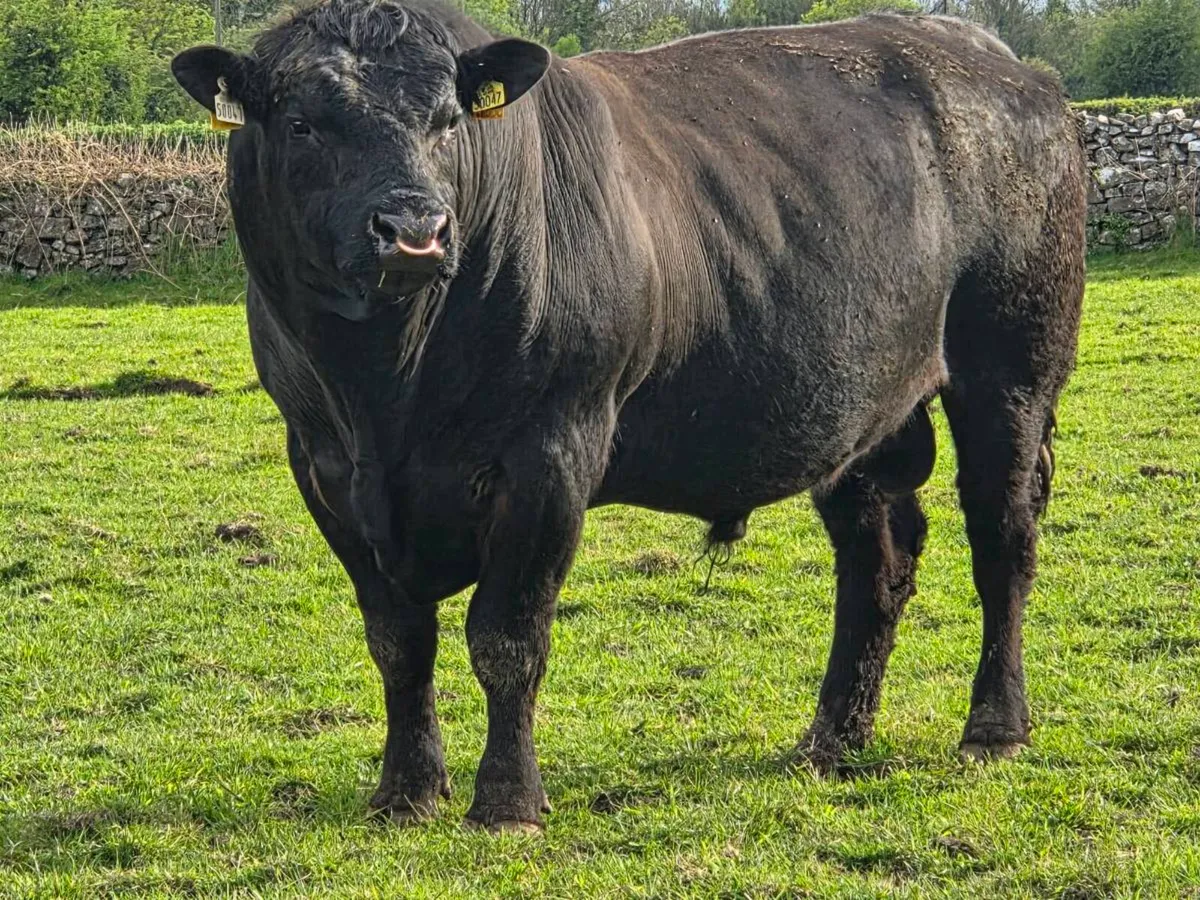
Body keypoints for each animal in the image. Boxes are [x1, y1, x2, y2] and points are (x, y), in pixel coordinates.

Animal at [172, 0, 1085, 832]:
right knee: (877, 564)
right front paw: (405, 792)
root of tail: (993, 58)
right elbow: (399, 642)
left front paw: (507, 802)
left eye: (448, 120)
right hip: (860, 413)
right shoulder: (323, 466)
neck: (386, 391)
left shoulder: (549, 454)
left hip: (1010, 372)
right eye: (301, 123)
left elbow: (507, 638)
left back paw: (994, 728)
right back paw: (831, 739)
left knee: (1002, 544)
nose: (415, 230)